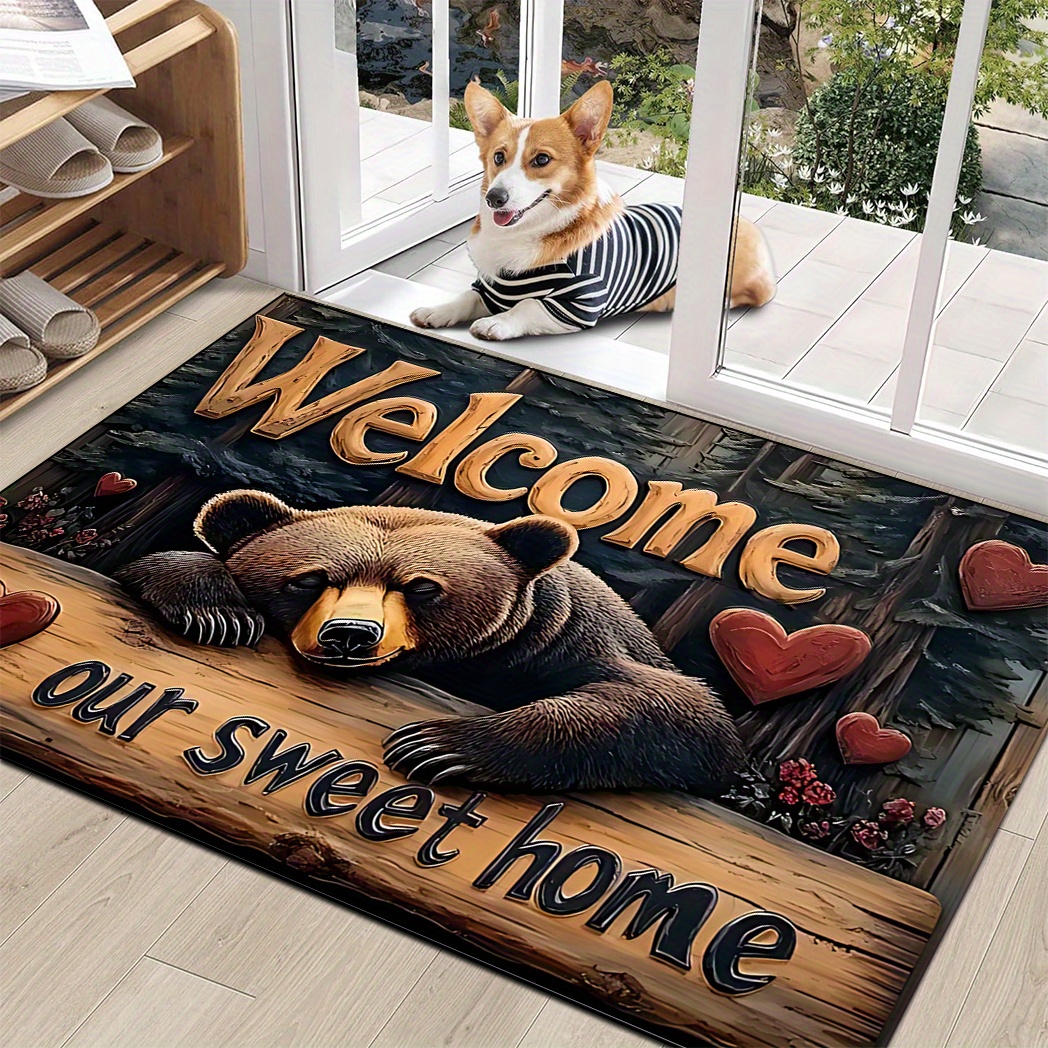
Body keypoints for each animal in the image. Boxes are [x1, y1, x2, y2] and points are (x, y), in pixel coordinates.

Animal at [116, 489, 744, 795]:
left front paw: (435, 745)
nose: (349, 636)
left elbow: (679, 709)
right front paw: (216, 610)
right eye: (309, 579)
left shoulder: (564, 642)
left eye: (421, 587)